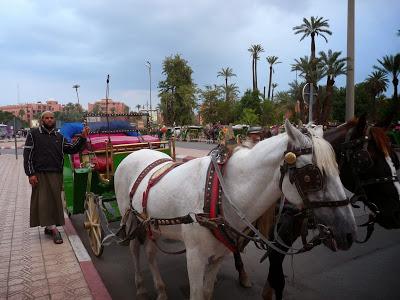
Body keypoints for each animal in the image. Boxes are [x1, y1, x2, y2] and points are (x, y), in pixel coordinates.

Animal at [115, 120, 356, 300]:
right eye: (312, 176)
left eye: (339, 167)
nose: (348, 232)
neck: (220, 192)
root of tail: (135, 152)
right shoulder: (195, 257)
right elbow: (196, 294)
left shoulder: (219, 255)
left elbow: (207, 292)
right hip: (131, 220)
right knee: (135, 249)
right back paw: (141, 286)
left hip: (151, 223)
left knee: (150, 252)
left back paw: (161, 289)